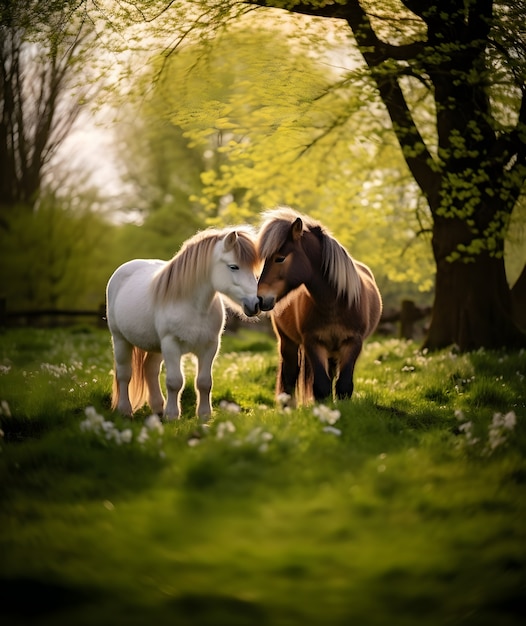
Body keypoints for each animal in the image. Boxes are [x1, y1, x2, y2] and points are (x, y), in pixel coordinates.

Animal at [108, 225, 262, 420]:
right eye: (234, 266)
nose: (257, 303)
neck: (194, 306)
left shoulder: (209, 346)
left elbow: (204, 382)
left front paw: (204, 416)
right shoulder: (171, 344)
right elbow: (175, 382)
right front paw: (172, 416)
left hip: (155, 347)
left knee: (150, 370)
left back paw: (158, 408)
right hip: (120, 339)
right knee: (124, 374)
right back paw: (125, 410)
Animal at [258, 207, 384, 404]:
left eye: (280, 258)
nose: (260, 298)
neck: (335, 303)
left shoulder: (353, 343)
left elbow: (343, 385)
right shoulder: (313, 343)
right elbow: (322, 386)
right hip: (288, 342)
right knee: (290, 375)